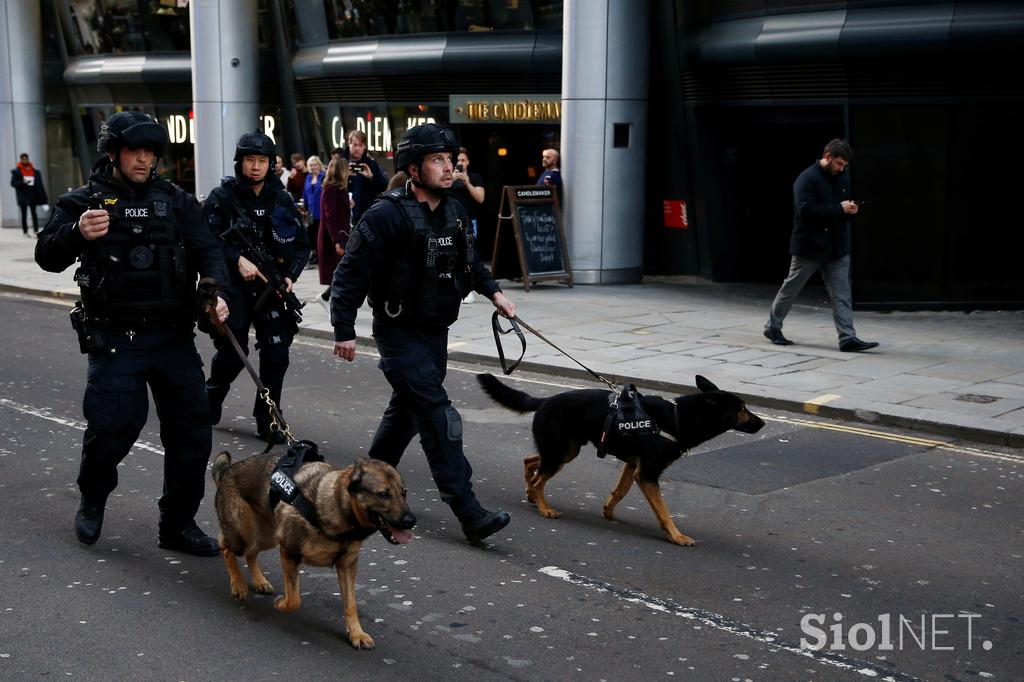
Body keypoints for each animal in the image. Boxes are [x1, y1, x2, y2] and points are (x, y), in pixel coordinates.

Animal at [211, 450, 415, 647]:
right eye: (383, 494)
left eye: (404, 492)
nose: (411, 521)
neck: (337, 507)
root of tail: (227, 470)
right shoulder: (289, 553)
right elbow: (294, 600)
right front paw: (281, 604)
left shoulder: (347, 566)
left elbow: (351, 604)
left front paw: (356, 633)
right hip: (243, 536)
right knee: (227, 549)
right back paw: (238, 584)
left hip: (267, 536)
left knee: (251, 554)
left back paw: (259, 581)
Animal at [477, 368, 761, 544]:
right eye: (743, 409)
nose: (760, 423)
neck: (677, 418)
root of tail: (544, 400)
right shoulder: (647, 474)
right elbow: (664, 510)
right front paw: (676, 535)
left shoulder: (634, 467)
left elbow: (620, 491)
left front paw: (609, 511)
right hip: (561, 452)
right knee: (539, 478)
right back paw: (544, 507)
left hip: (566, 450)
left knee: (531, 462)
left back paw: (532, 495)